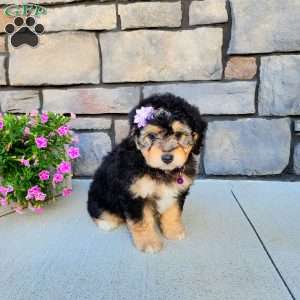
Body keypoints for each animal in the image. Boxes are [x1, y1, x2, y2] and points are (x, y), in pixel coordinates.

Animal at [87, 94, 206, 253]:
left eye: (179, 135)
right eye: (152, 136)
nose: (167, 158)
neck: (160, 170)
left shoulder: (176, 190)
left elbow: (173, 212)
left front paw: (174, 231)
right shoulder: (134, 194)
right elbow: (142, 221)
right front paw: (149, 243)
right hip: (100, 193)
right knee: (97, 209)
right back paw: (106, 222)